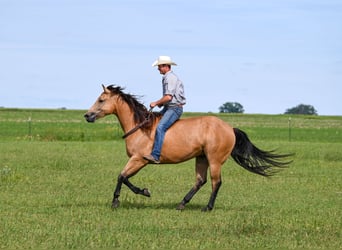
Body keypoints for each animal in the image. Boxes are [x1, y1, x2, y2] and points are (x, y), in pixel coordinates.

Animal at [83, 84, 292, 211]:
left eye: (101, 100)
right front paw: (136, 194)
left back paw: (207, 207)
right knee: (200, 181)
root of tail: (229, 128)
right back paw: (182, 203)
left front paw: (124, 198)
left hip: (214, 160)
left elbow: (122, 176)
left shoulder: (139, 159)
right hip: (201, 158)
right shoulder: (138, 160)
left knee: (216, 182)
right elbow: (124, 177)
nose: (87, 115)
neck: (141, 127)